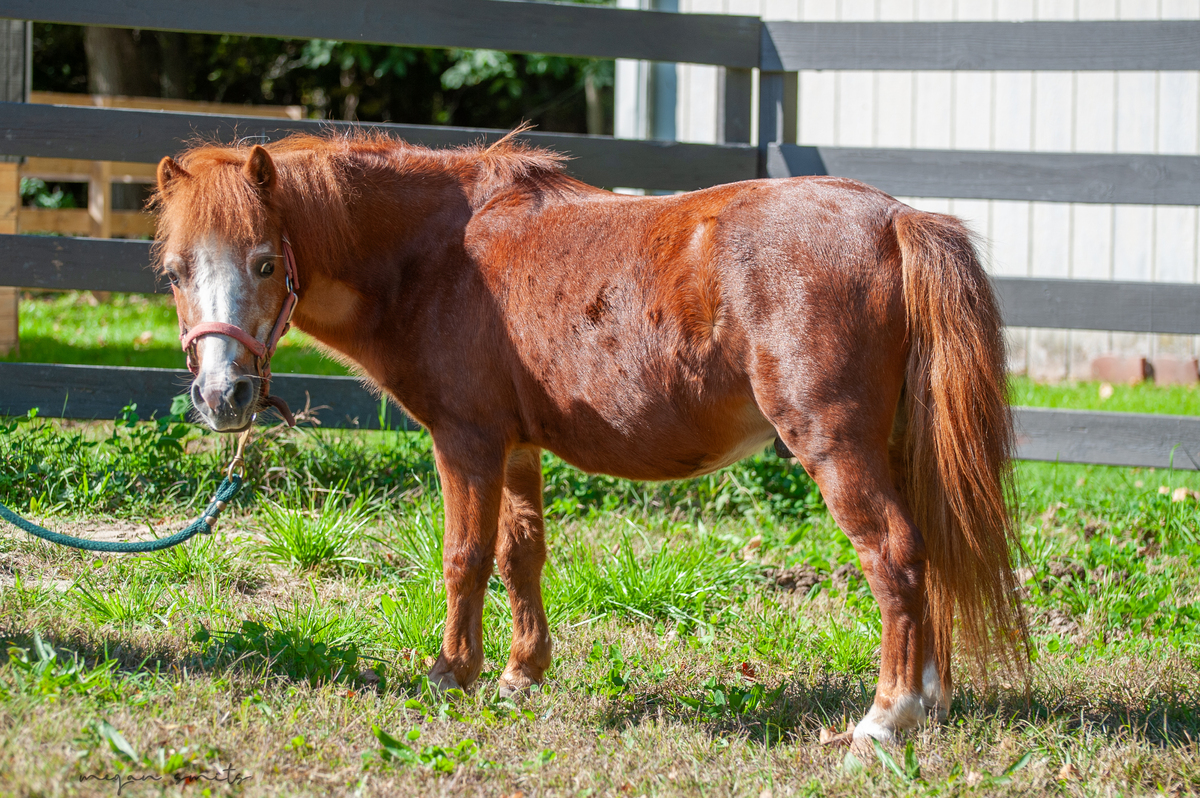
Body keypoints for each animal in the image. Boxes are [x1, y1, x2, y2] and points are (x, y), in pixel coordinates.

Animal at [151, 129, 1027, 743]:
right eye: (174, 272)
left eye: (265, 263)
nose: (223, 396)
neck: (439, 257)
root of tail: (896, 218)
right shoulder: (516, 447)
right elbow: (519, 554)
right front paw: (519, 675)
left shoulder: (466, 441)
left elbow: (464, 557)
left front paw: (450, 673)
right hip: (898, 446)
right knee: (928, 552)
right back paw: (926, 700)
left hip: (835, 446)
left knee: (894, 554)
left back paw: (884, 718)